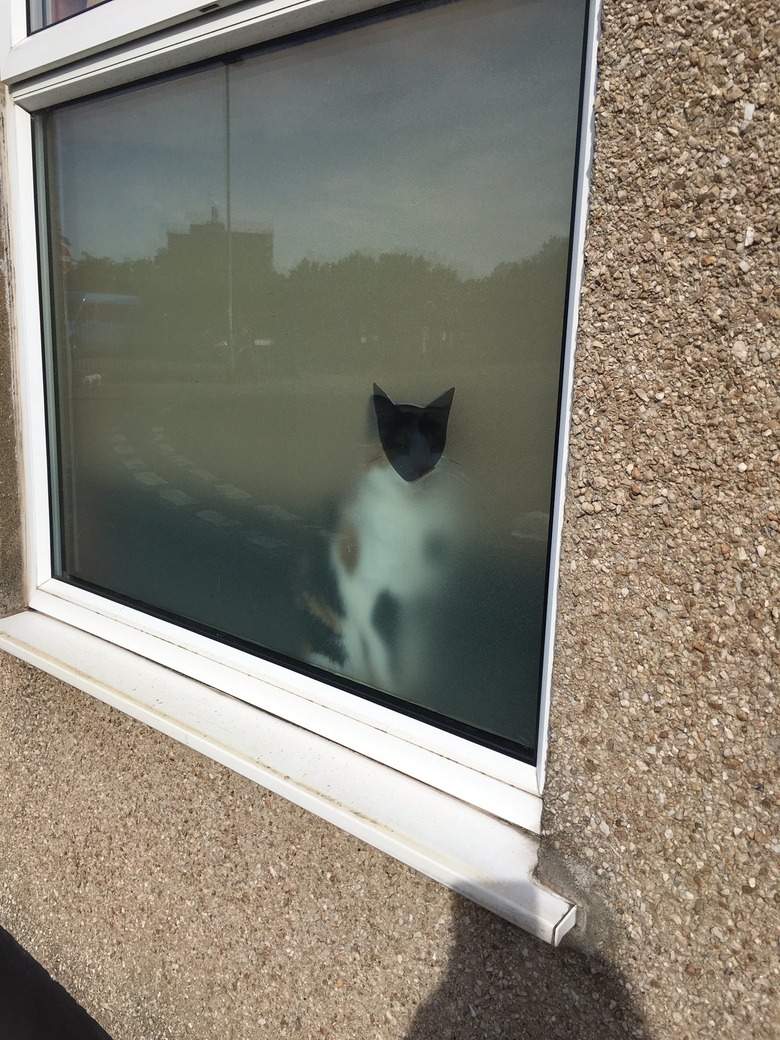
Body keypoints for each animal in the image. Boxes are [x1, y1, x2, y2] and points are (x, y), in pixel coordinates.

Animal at [299, 382, 457, 698]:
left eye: (434, 443)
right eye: (401, 445)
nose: (420, 467)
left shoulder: (422, 604)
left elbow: (414, 656)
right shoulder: (366, 594)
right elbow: (382, 659)